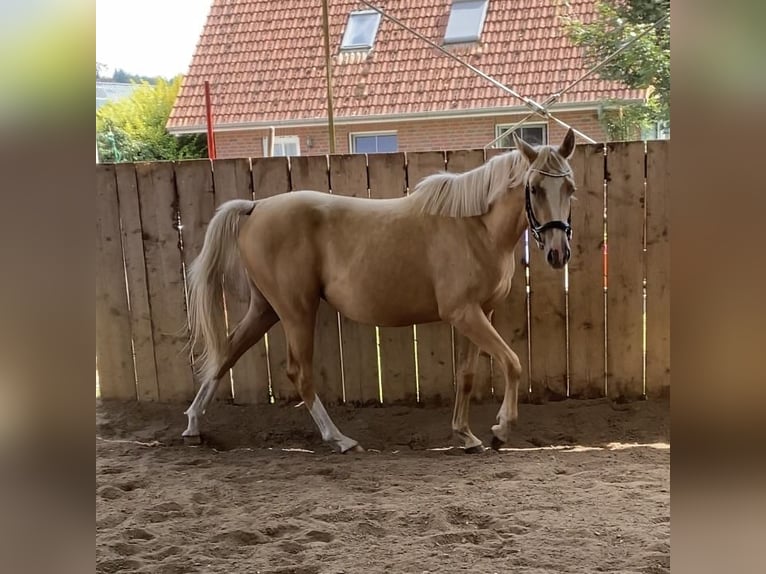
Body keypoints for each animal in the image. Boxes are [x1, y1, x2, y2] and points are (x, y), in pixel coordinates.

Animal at [184, 130, 576, 454]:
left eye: (569, 188)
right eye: (535, 188)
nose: (558, 253)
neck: (475, 225)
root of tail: (255, 207)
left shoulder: (478, 312)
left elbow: (466, 375)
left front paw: (465, 435)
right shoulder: (463, 313)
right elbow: (512, 362)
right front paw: (501, 430)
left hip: (265, 308)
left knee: (226, 353)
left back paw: (192, 426)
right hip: (296, 311)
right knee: (299, 373)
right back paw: (340, 439)